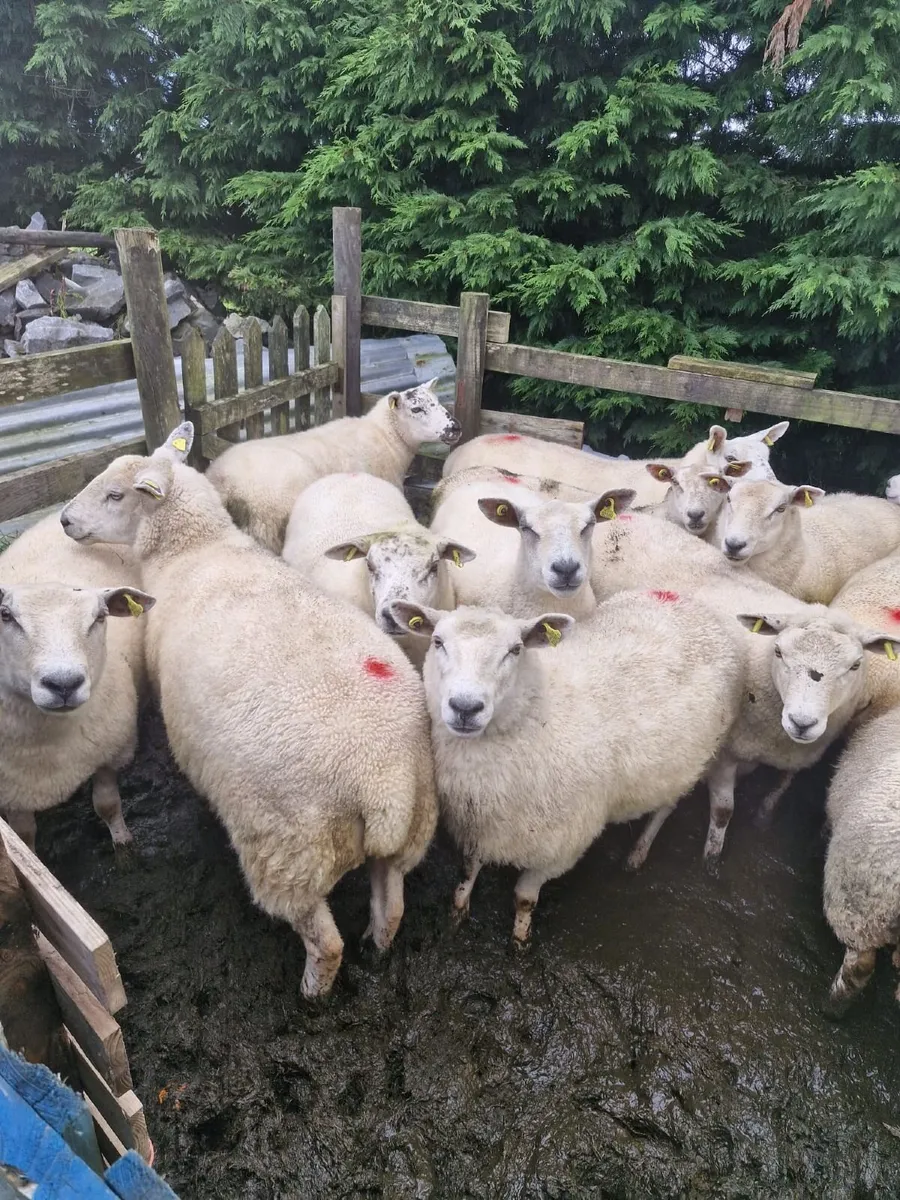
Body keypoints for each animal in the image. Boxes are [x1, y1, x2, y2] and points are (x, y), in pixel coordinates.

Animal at [0, 514, 153, 851]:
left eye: (100, 617)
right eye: (5, 615)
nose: (63, 683)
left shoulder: (110, 752)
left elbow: (107, 805)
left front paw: (123, 846)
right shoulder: (13, 792)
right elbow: (24, 838)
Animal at [60, 423, 438, 998]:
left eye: (115, 495)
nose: (64, 520)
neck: (196, 551)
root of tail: (385, 782)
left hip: (290, 852)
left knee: (325, 943)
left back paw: (310, 994)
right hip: (407, 835)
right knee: (390, 909)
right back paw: (378, 952)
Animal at [206, 380, 461, 553]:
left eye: (438, 402)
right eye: (416, 409)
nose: (455, 427)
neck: (385, 437)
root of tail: (223, 485)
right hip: (267, 525)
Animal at [390, 589, 743, 942]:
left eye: (515, 650)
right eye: (438, 641)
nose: (465, 707)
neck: (539, 714)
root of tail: (690, 603)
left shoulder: (561, 846)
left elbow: (524, 899)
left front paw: (520, 940)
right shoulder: (478, 822)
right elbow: (467, 871)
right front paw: (457, 914)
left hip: (691, 761)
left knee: (666, 808)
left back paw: (639, 853)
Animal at [627, 602, 900, 872]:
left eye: (855, 665)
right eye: (778, 651)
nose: (801, 723)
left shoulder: (800, 755)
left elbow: (782, 785)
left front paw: (763, 815)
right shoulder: (726, 754)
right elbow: (723, 810)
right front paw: (711, 859)